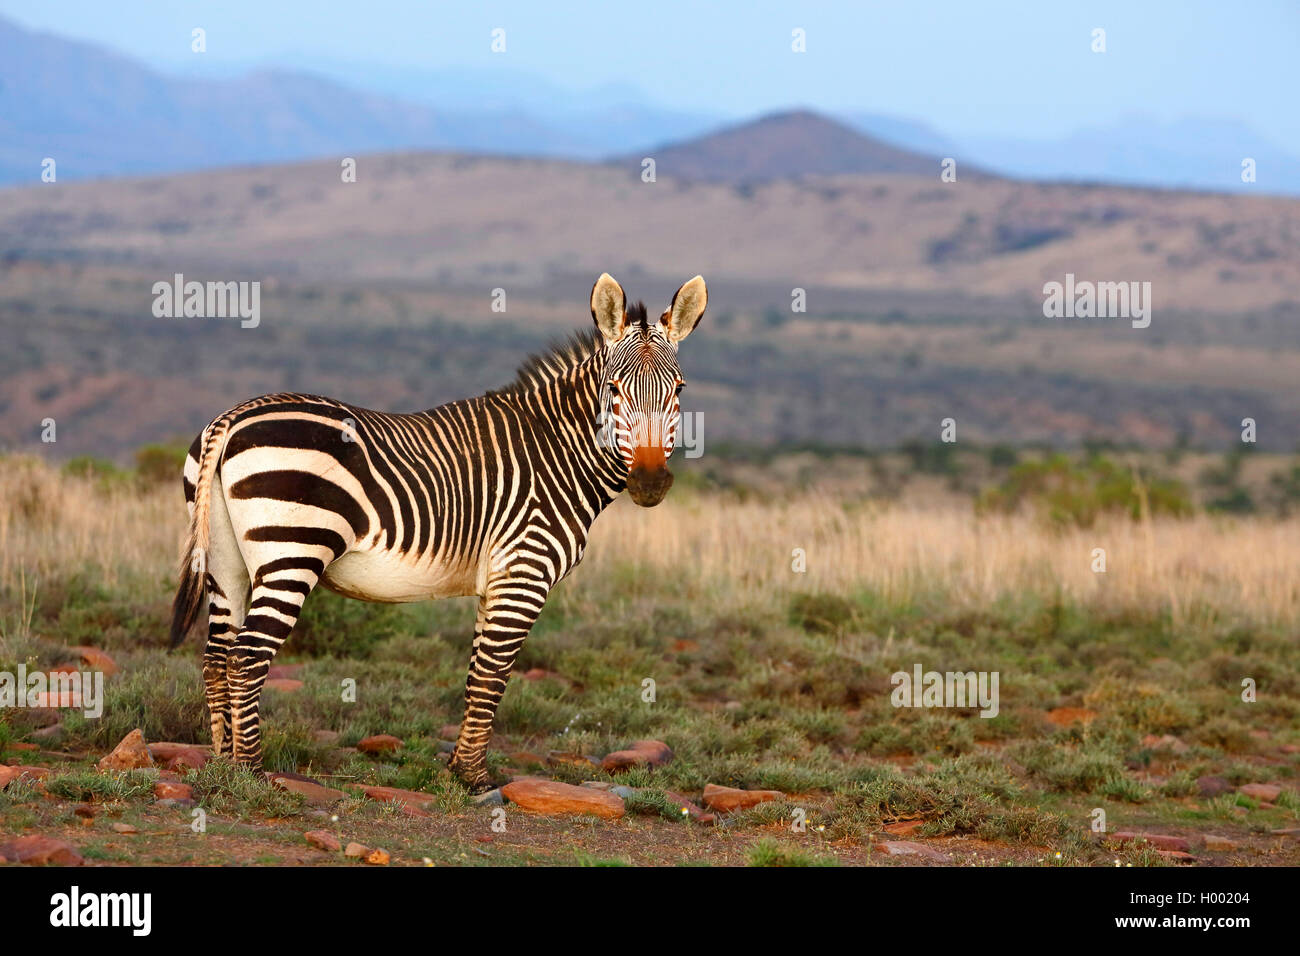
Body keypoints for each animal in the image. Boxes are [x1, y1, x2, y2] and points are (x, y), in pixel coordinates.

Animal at [169, 273, 707, 791]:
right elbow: (494, 675)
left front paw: (457, 769)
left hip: (226, 563)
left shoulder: (496, 582)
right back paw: (252, 773)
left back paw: (222, 765)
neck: (558, 453)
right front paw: (474, 778)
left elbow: (476, 675)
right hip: (291, 550)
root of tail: (231, 418)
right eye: (614, 390)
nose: (650, 482)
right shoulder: (524, 573)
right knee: (246, 657)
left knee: (216, 658)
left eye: (678, 391)